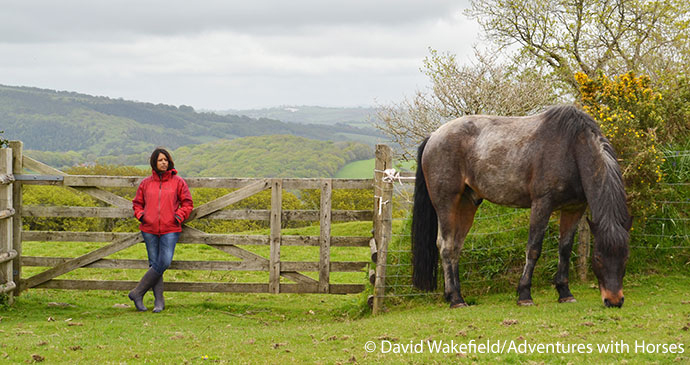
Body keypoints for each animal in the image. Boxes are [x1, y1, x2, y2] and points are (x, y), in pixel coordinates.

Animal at [412, 104, 632, 308]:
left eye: (625, 257)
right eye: (598, 257)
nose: (614, 300)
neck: (571, 148)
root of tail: (434, 136)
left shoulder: (574, 209)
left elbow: (565, 249)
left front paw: (564, 292)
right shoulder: (542, 204)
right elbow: (533, 249)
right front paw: (524, 294)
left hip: (467, 204)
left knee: (456, 246)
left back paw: (455, 294)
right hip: (446, 202)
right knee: (446, 246)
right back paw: (455, 299)